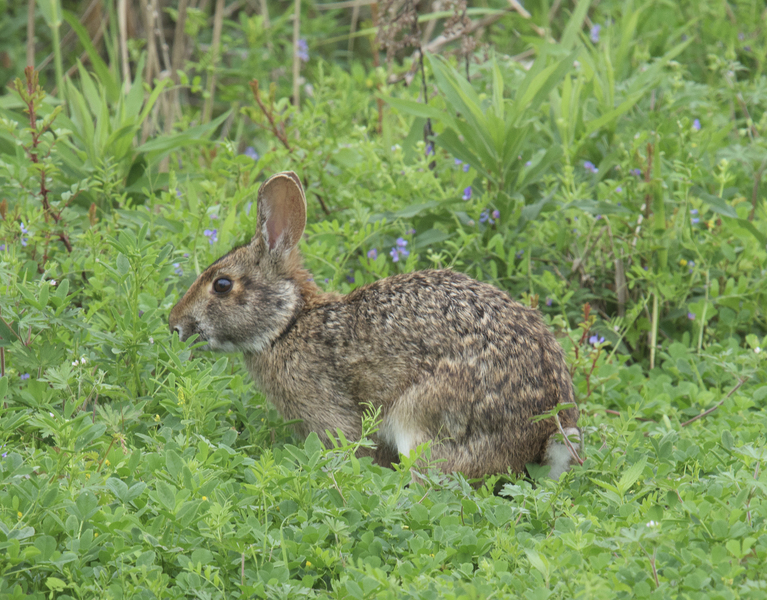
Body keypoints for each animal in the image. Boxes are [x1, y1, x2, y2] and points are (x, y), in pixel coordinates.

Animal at [169, 171, 582, 480]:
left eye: (222, 285)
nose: (174, 324)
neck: (288, 323)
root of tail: (545, 431)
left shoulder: (331, 414)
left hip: (425, 420)